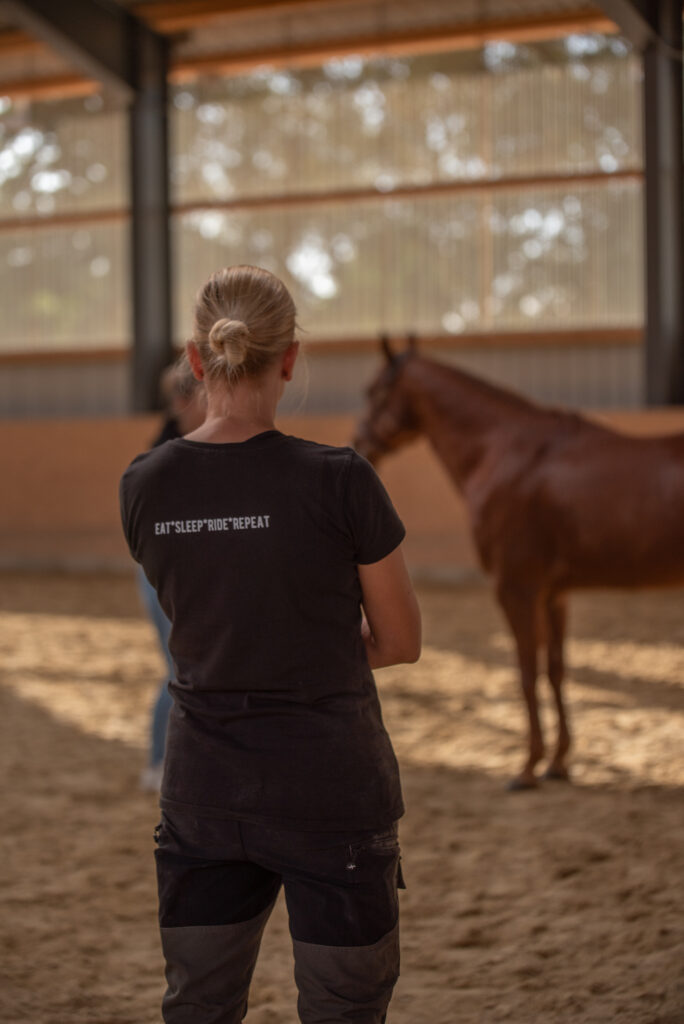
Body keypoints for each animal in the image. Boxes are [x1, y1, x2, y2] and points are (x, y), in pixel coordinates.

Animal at [354, 338, 684, 789]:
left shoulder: (515, 589)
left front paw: (528, 768)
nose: (358, 443)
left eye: (375, 391)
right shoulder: (553, 594)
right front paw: (558, 763)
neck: (506, 453)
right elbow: (556, 670)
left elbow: (528, 674)